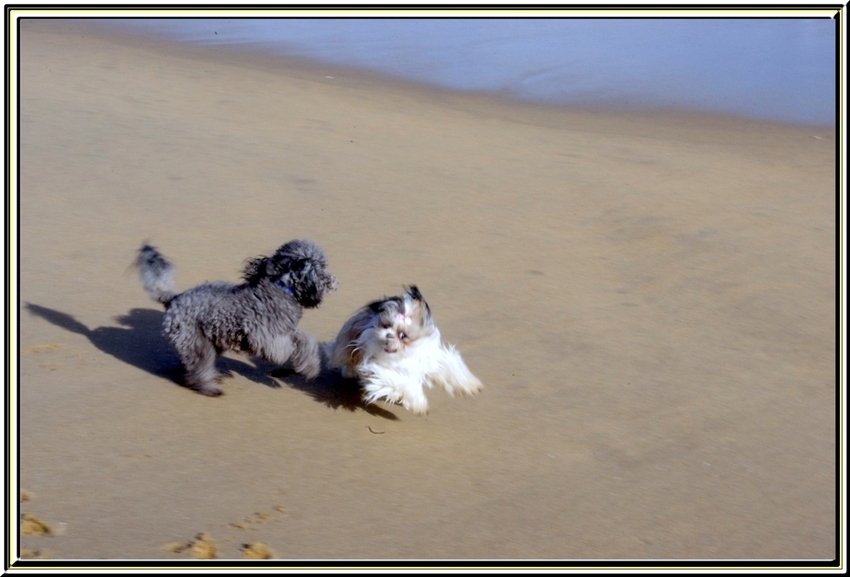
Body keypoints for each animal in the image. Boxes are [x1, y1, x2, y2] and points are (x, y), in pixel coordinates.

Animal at [326, 286, 480, 414]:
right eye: (386, 326)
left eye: (402, 336)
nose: (388, 335)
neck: (403, 355)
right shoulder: (380, 371)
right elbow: (405, 384)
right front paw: (419, 405)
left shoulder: (429, 360)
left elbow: (449, 368)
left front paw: (471, 385)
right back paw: (349, 372)